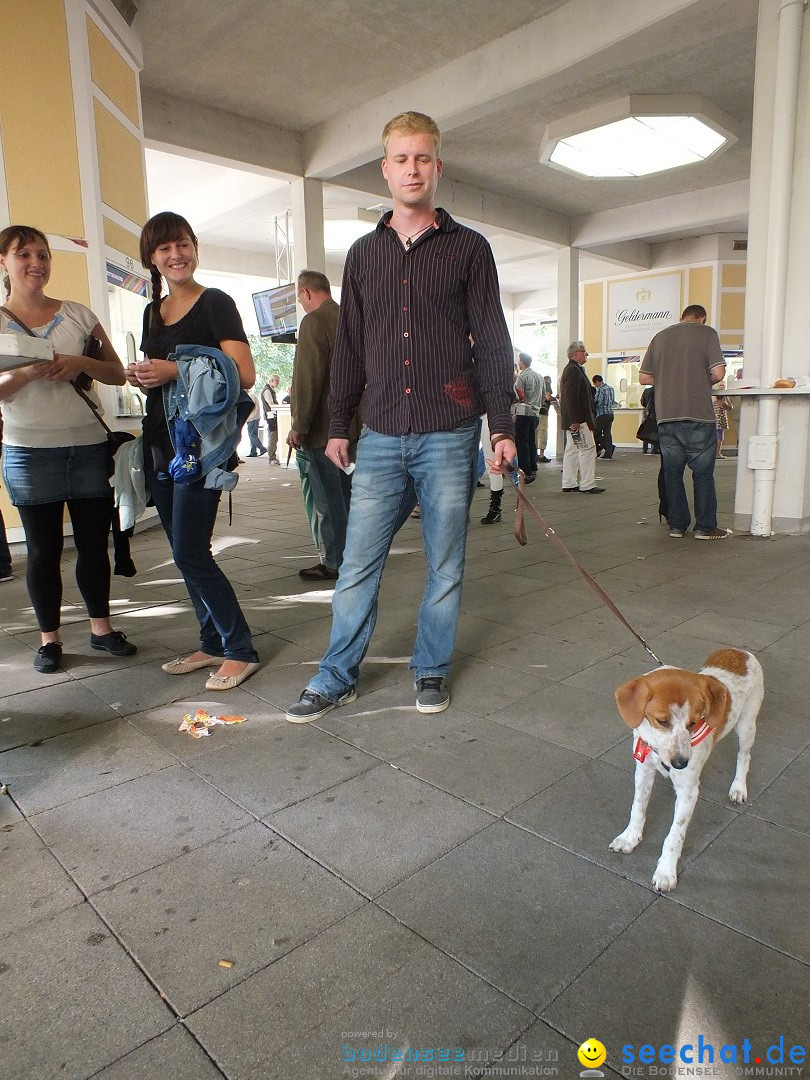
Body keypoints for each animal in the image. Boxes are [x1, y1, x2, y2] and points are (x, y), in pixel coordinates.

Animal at [613, 643, 764, 889]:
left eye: (694, 722)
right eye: (662, 721)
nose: (681, 763)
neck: (658, 748)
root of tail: (739, 651)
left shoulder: (688, 792)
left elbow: (675, 834)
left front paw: (666, 871)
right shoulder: (643, 771)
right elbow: (638, 808)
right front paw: (630, 837)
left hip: (747, 725)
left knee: (744, 756)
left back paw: (738, 788)